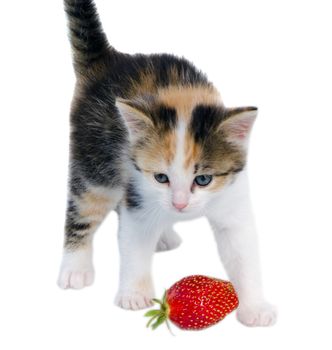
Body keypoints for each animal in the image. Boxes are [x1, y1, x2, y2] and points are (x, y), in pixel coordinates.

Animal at [58, 0, 276, 328]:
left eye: (203, 179)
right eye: (161, 177)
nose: (180, 205)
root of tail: (111, 58)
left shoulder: (233, 193)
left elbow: (242, 249)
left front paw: (255, 306)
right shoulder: (139, 187)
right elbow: (133, 241)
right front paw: (134, 294)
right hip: (94, 156)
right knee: (85, 205)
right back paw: (74, 268)